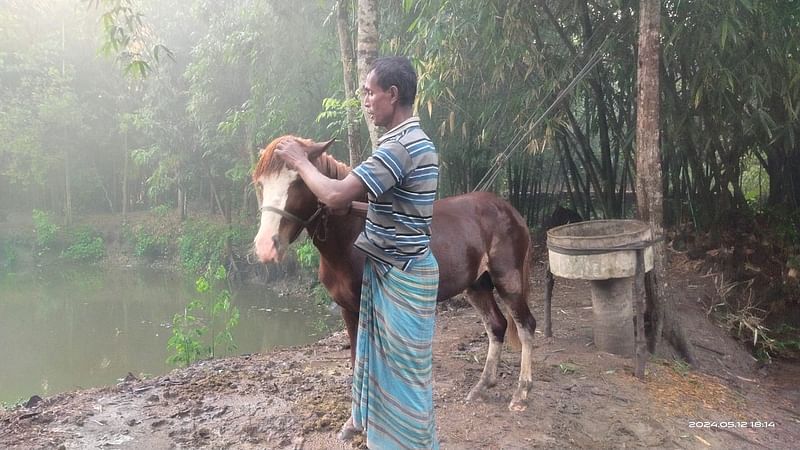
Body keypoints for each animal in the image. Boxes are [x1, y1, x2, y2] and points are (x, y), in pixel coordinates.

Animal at [250, 134, 536, 412]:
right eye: (261, 184)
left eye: (298, 181)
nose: (266, 246)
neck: (351, 238)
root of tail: (510, 210)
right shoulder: (346, 308)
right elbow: (355, 359)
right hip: (477, 285)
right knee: (496, 326)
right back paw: (481, 386)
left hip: (508, 280)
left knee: (525, 326)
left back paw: (522, 394)